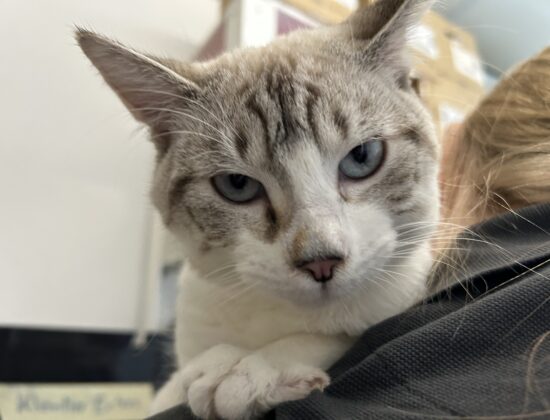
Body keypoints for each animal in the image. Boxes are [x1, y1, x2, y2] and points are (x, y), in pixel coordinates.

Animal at [77, 0, 439, 418]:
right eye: (238, 185)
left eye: (362, 157)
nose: (321, 261)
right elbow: (170, 391)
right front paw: (211, 370)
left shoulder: (401, 296)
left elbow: (344, 335)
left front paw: (251, 371)